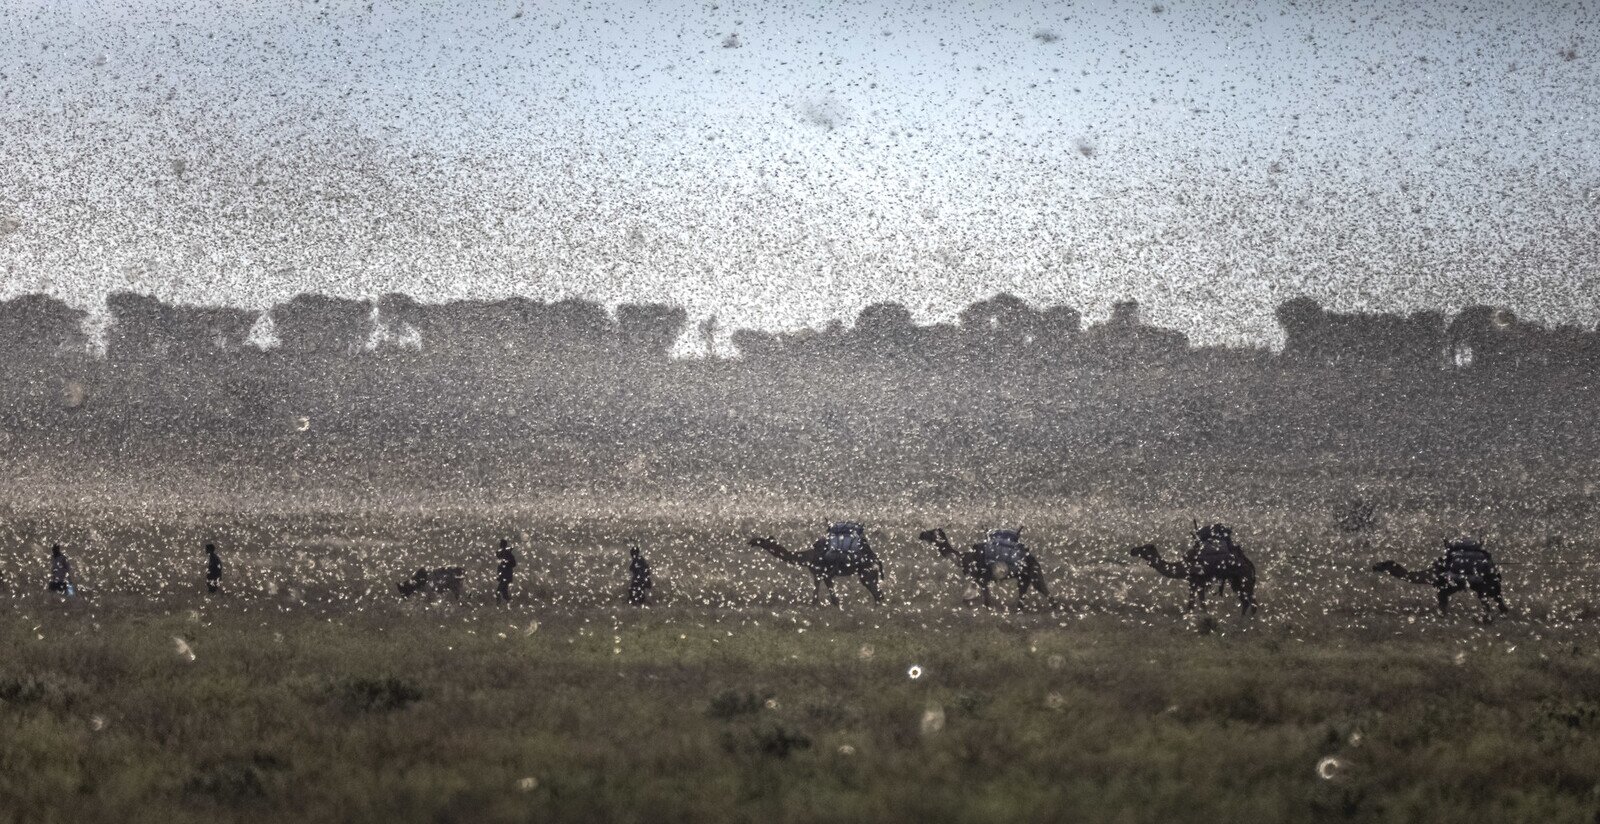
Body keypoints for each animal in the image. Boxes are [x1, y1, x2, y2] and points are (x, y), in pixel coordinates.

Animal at [748, 523, 884, 606]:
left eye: (762, 540)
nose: (751, 541)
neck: (808, 557)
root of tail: (876, 559)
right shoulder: (822, 575)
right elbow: (829, 597)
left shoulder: (821, 573)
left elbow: (819, 598)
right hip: (870, 574)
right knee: (879, 594)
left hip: (866, 573)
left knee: (878, 594)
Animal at [916, 527, 1050, 608]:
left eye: (931, 532)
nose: (921, 534)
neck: (964, 558)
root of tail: (1032, 559)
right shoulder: (978, 580)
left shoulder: (982, 579)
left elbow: (986, 602)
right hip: (1024, 578)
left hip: (1032, 574)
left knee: (1046, 594)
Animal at [1372, 539, 1507, 617]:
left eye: (1385, 564)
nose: (1375, 566)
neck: (1432, 574)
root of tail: (1492, 565)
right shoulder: (1444, 591)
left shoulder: (1442, 590)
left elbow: (1442, 609)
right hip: (1492, 587)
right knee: (1499, 602)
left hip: (1486, 586)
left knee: (1490, 602)